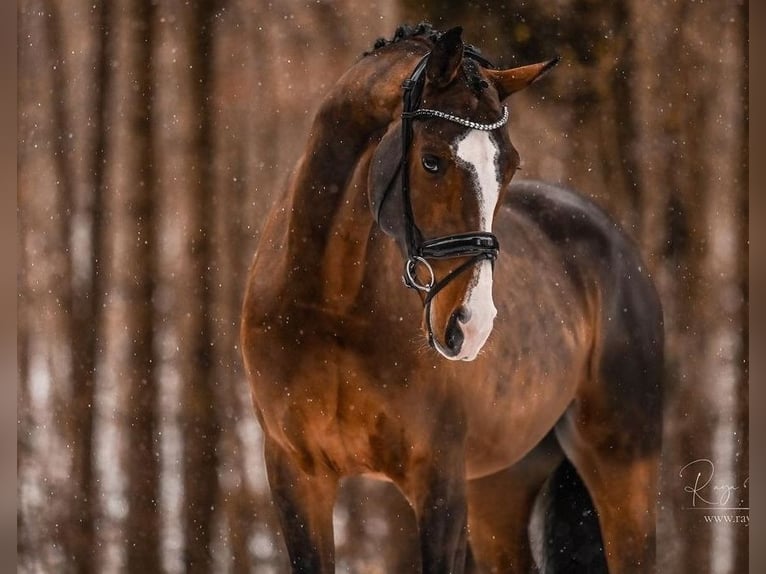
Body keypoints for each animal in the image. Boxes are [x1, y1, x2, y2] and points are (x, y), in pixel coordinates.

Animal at [243, 23, 664, 574]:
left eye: (509, 167)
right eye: (432, 161)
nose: (472, 325)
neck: (330, 303)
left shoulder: (438, 482)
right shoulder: (295, 476)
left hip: (622, 468)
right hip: (500, 488)